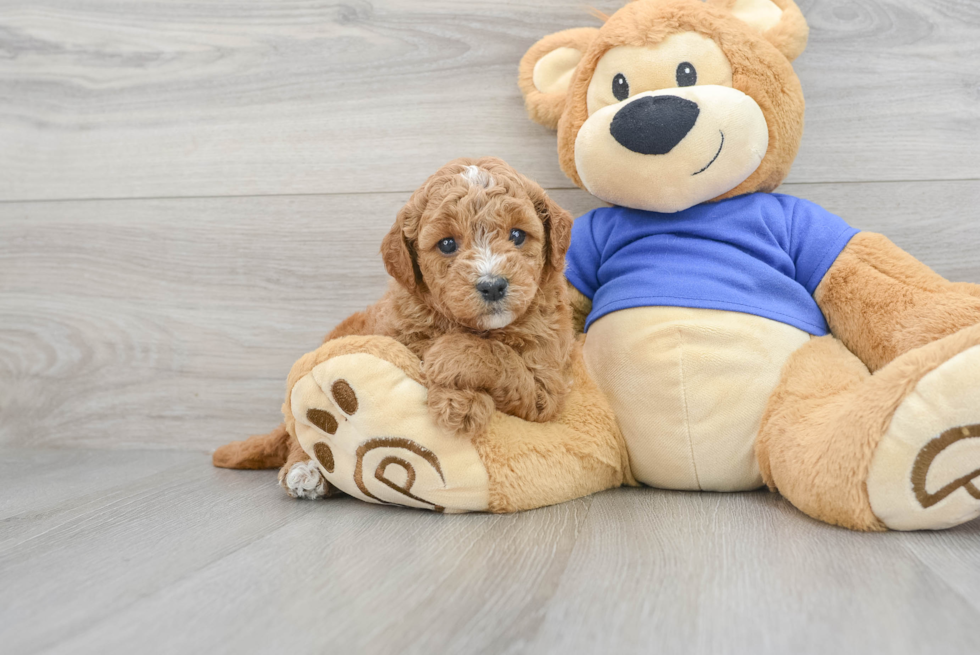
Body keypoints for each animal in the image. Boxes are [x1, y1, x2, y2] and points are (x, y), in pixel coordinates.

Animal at [212, 156, 576, 500]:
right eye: (447, 244)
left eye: (517, 235)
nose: (493, 285)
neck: (469, 325)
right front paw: (460, 401)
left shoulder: (546, 389)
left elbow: (503, 359)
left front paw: (454, 387)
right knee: (300, 434)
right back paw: (306, 470)